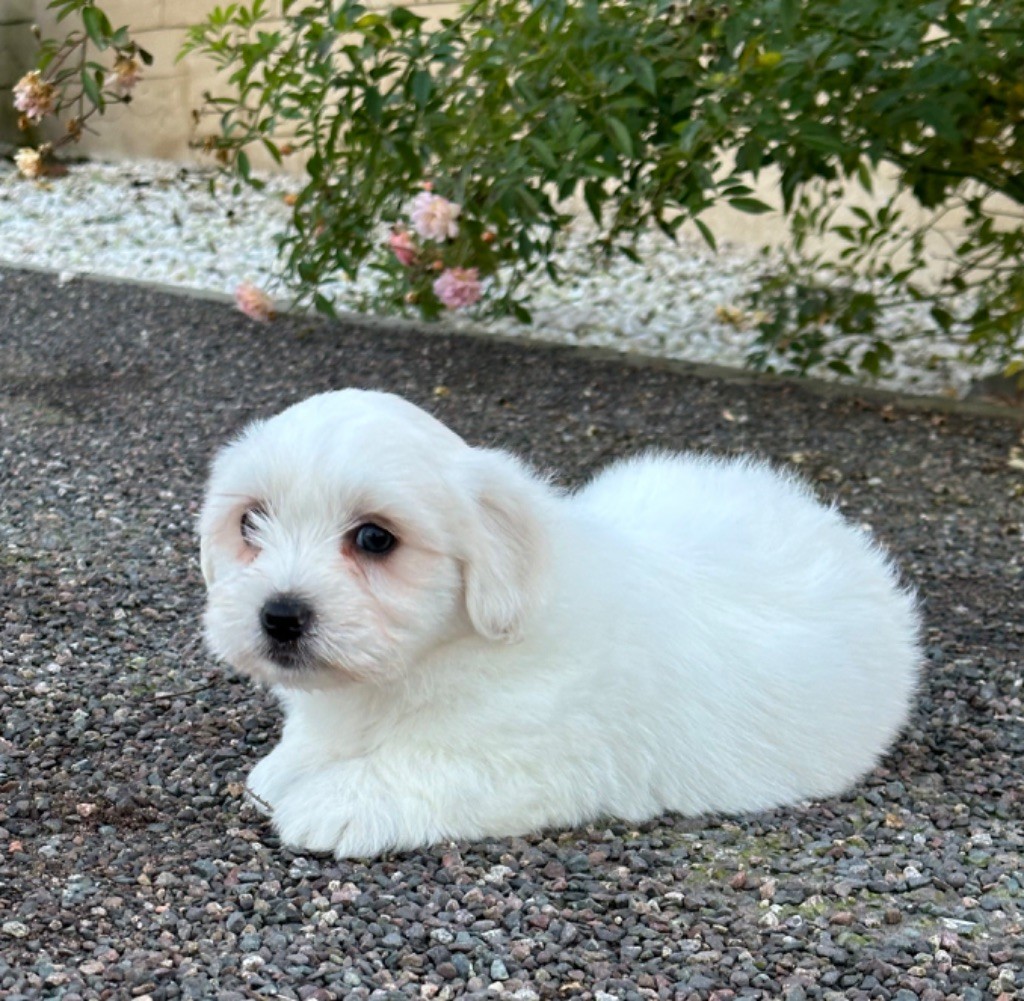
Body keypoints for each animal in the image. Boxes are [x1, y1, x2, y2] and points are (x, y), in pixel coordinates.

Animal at [199, 386, 921, 855]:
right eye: (249, 523)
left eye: (375, 538)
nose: (279, 615)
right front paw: (288, 765)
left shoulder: (535, 756)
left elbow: (427, 764)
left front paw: (335, 801)